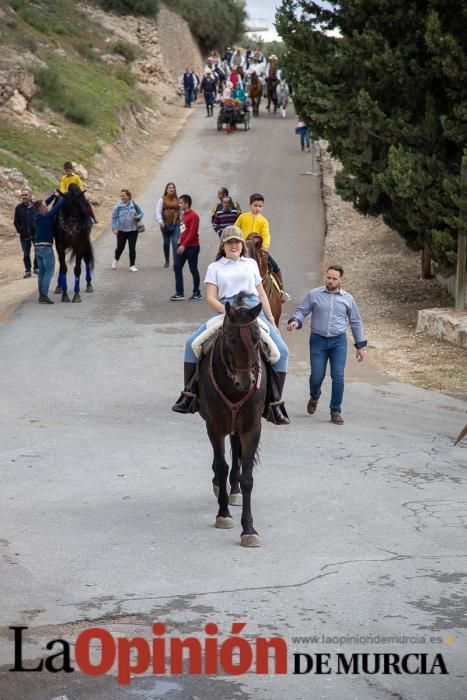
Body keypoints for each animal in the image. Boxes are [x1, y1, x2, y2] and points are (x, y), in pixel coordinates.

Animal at [197, 292, 266, 548]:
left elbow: (247, 477)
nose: (246, 382)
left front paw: (249, 529)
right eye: (231, 339)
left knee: (236, 453)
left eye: (256, 339)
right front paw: (223, 514)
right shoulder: (214, 426)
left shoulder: (252, 427)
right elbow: (221, 465)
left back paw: (233, 490)